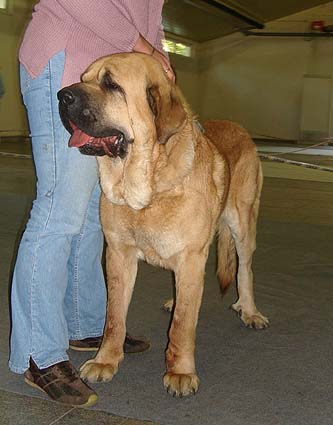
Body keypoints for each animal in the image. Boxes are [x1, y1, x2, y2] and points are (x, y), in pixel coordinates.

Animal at [57, 52, 268, 394]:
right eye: (83, 78)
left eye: (111, 84)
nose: (62, 95)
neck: (149, 188)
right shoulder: (118, 256)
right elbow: (114, 317)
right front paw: (106, 361)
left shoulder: (191, 257)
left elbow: (183, 324)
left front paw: (180, 372)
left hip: (243, 224)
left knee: (244, 270)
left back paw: (249, 310)